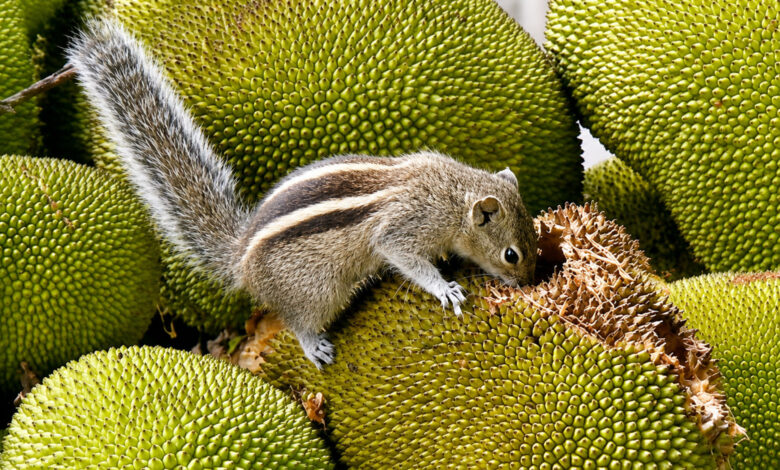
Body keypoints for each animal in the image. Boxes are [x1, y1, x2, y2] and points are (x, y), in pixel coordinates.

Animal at [67, 18, 538, 368]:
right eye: (511, 255)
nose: (528, 282)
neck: (454, 193)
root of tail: (239, 259)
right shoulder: (407, 227)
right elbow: (403, 256)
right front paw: (444, 288)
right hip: (315, 293)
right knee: (295, 322)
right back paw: (314, 345)